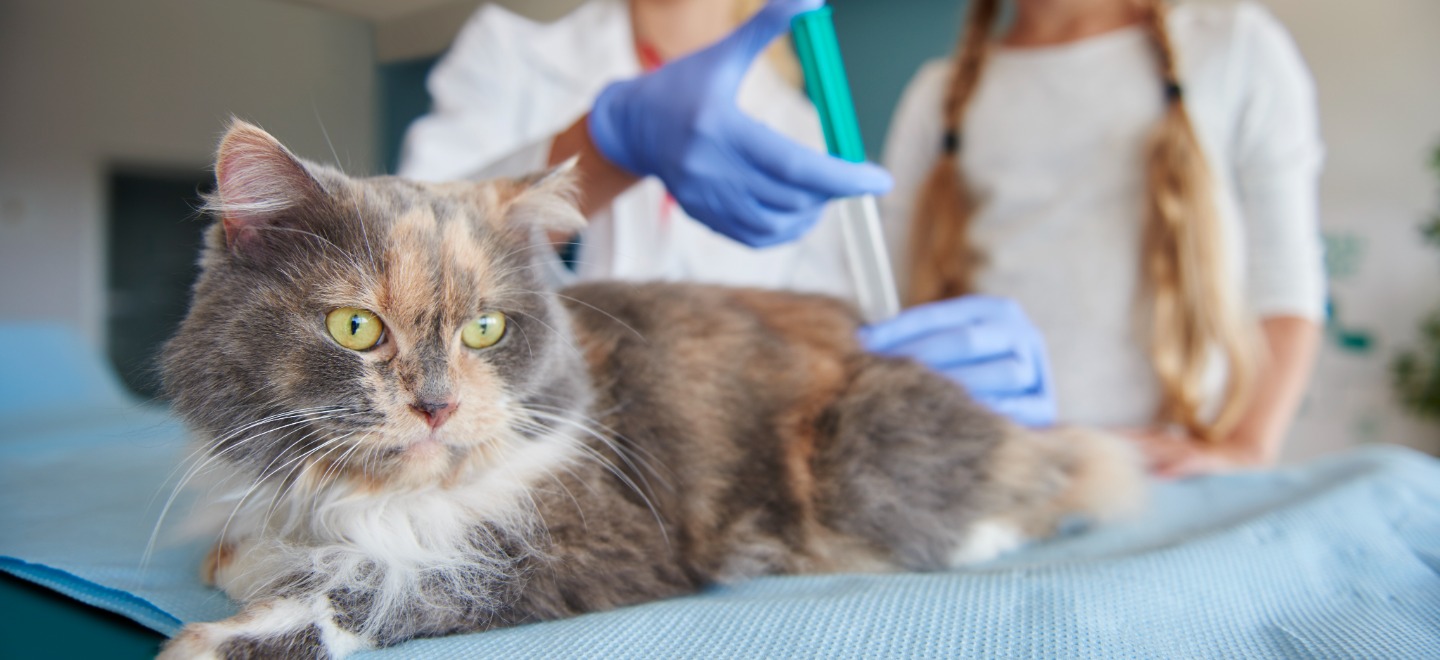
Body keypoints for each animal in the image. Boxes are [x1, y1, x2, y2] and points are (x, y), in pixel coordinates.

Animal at [157, 121, 1140, 657]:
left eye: (486, 330)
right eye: (357, 329)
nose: (436, 405)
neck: (368, 499)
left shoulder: (588, 547)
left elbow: (382, 579)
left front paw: (218, 641)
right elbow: (272, 552)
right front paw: (247, 565)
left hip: (867, 454)